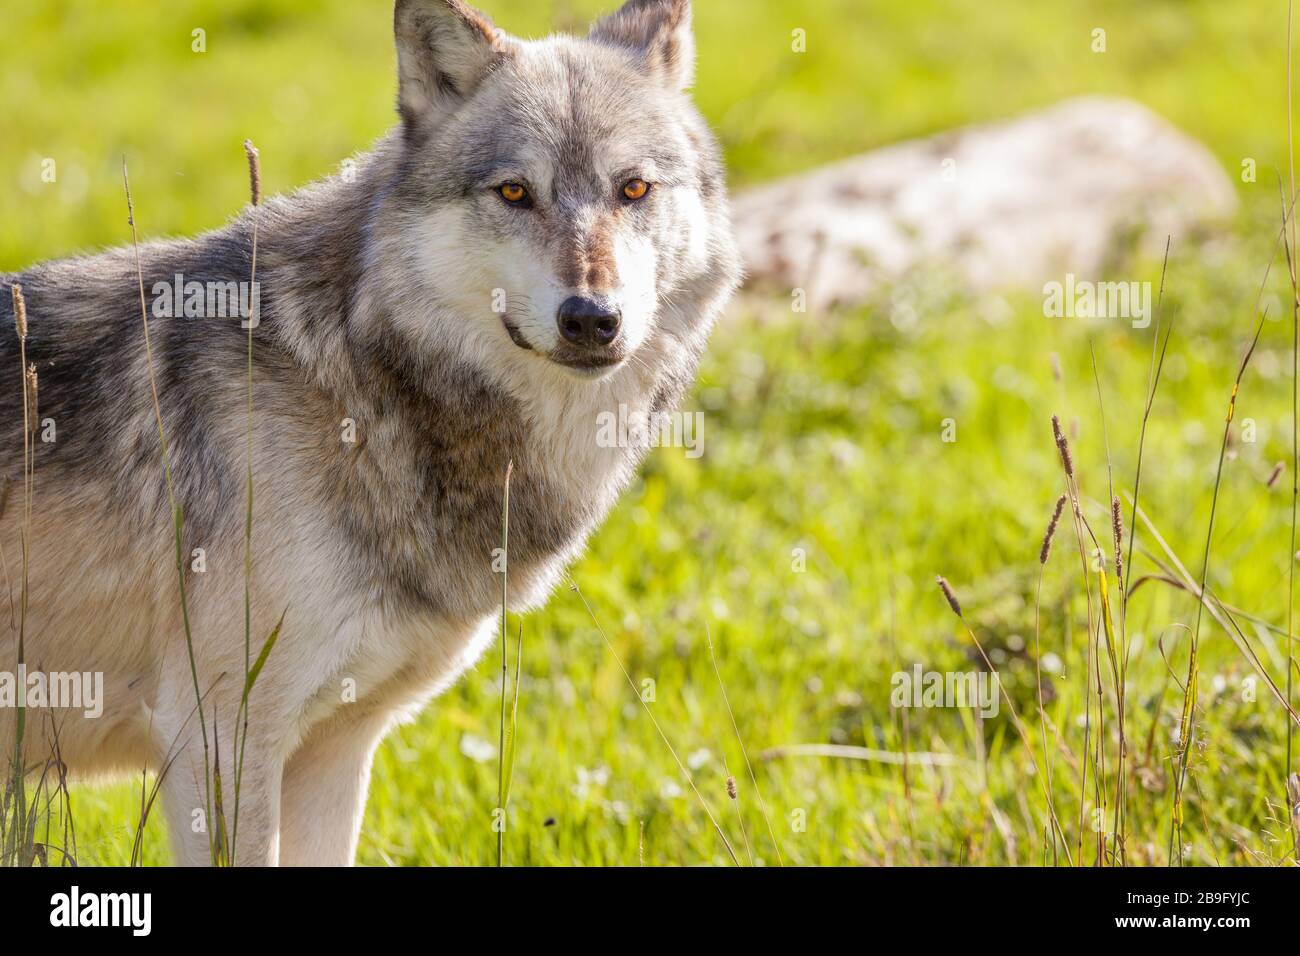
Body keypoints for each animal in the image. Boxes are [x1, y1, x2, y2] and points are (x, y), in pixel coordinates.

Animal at [0, 0, 743, 868]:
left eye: (633, 189)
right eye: (515, 191)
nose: (592, 319)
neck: (355, 384)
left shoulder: (338, 745)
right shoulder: (220, 742)